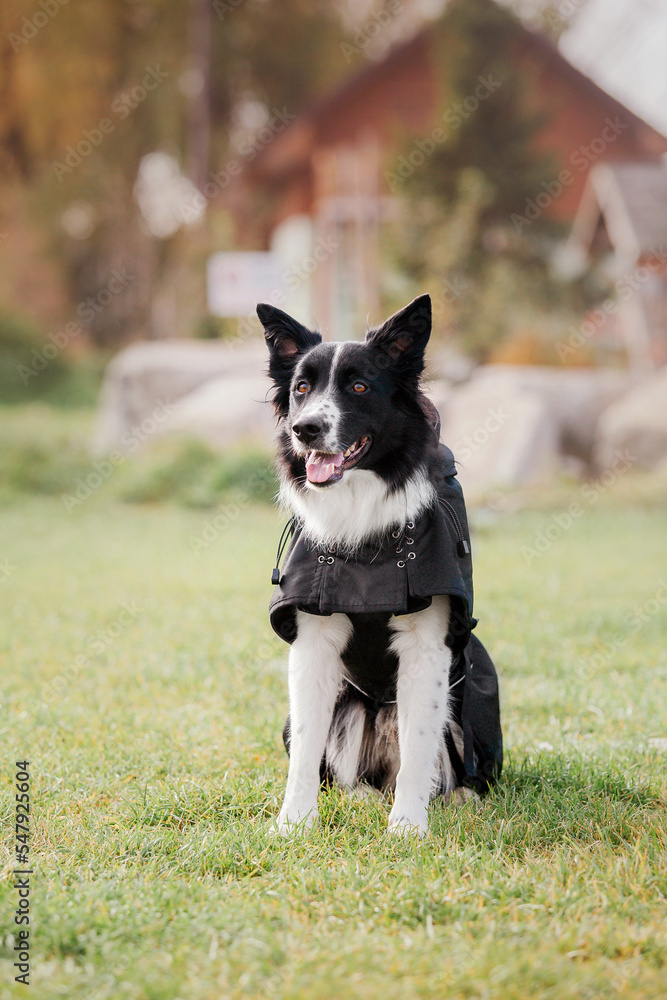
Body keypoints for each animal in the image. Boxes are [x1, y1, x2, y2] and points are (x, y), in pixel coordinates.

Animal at [258, 292, 500, 836]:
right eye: (301, 388)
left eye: (360, 386)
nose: (305, 429)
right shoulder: (313, 644)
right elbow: (305, 750)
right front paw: (294, 824)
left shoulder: (426, 647)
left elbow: (418, 750)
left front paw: (408, 827)